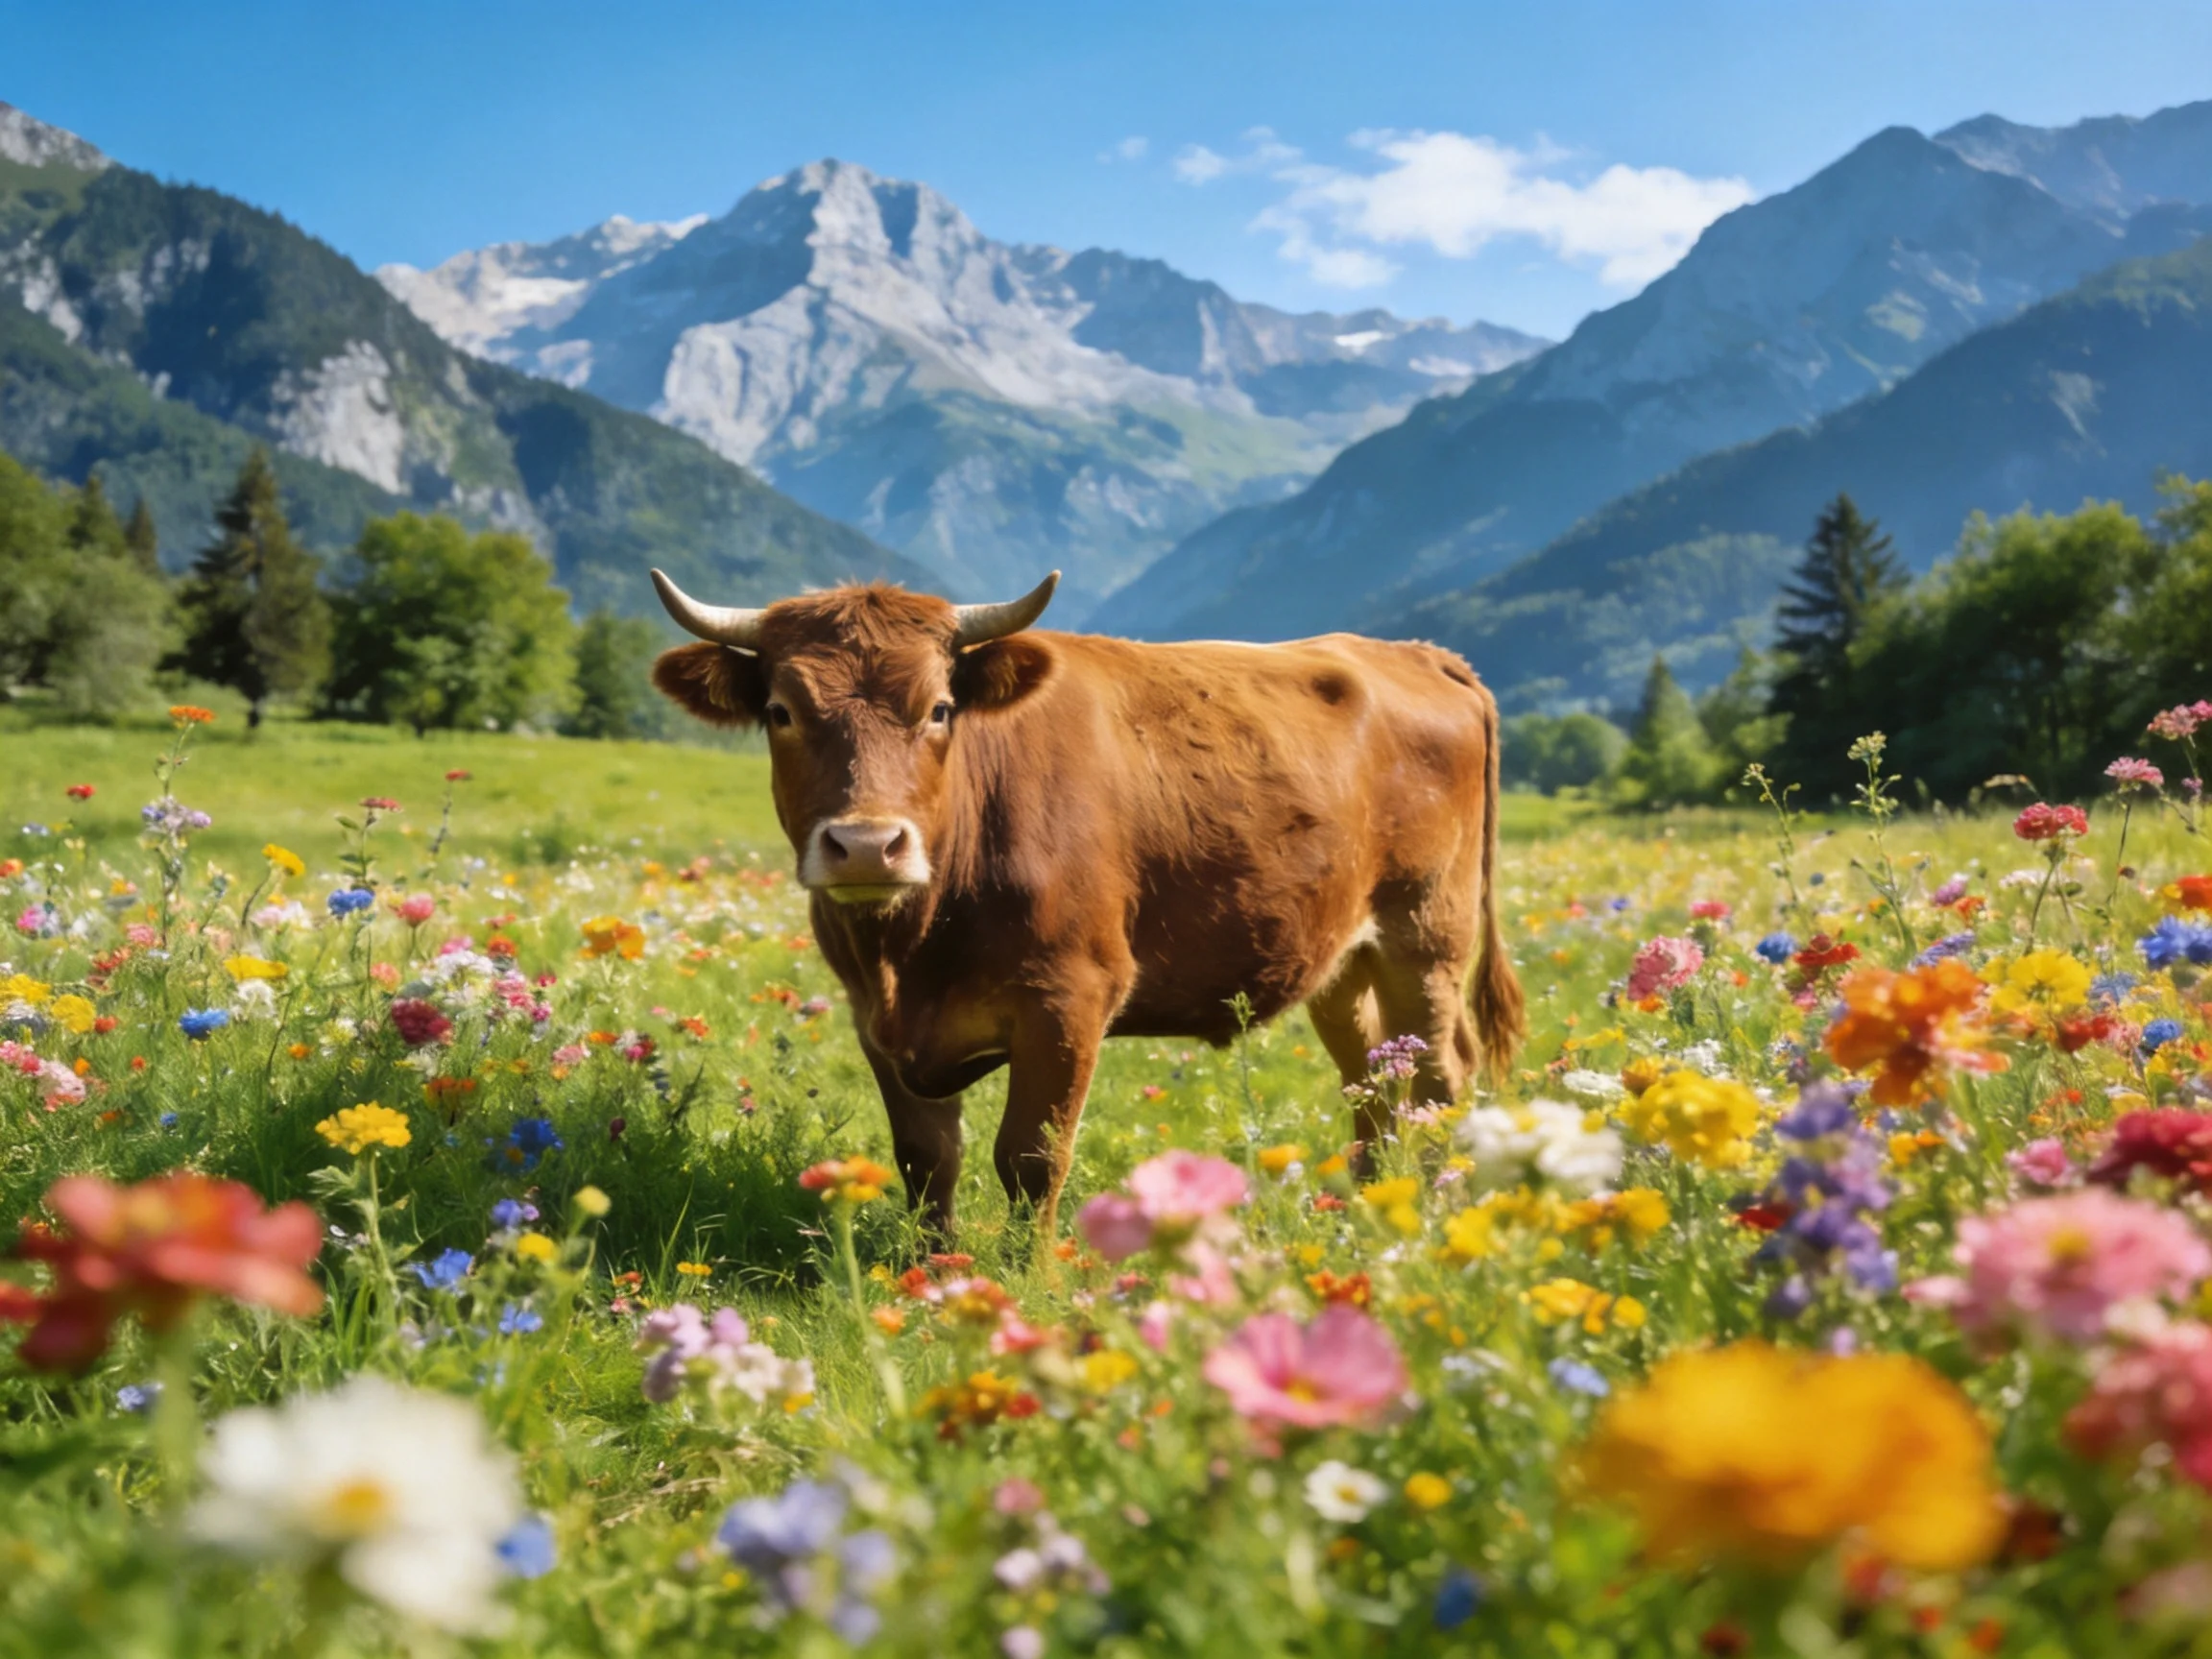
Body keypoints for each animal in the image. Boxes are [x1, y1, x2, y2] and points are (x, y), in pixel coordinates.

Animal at [649, 568, 1526, 1237]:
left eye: (939, 709)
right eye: (780, 712)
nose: (867, 844)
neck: (912, 953)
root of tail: (1414, 654)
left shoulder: (1069, 999)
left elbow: (1031, 1160)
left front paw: (1022, 1287)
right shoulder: (876, 1020)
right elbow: (927, 1159)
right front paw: (934, 1278)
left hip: (1425, 936)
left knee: (1440, 1077)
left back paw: (1432, 1211)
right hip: (1342, 958)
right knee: (1374, 1077)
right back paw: (1372, 1210)